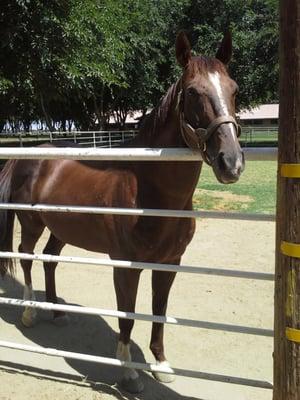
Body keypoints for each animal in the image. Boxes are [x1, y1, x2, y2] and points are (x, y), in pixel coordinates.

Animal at [0, 32, 244, 394]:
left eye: (234, 88)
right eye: (192, 92)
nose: (232, 162)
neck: (147, 188)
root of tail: (27, 156)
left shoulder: (170, 263)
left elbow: (159, 311)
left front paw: (161, 365)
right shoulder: (126, 266)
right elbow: (127, 313)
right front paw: (129, 373)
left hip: (60, 229)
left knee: (50, 259)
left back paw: (57, 311)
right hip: (31, 224)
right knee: (26, 256)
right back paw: (30, 313)